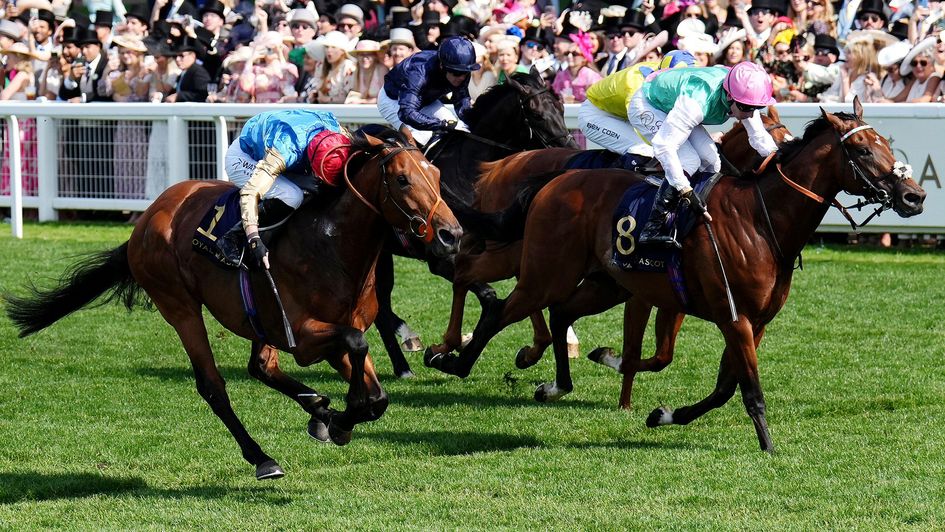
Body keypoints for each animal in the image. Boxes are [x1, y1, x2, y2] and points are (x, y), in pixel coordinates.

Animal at [5, 128, 462, 478]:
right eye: (402, 180)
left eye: (437, 173)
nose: (451, 235)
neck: (331, 244)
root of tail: (148, 216)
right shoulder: (305, 337)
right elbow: (357, 349)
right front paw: (338, 420)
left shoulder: (327, 335)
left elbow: (376, 394)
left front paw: (333, 418)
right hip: (180, 306)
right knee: (213, 385)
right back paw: (263, 457)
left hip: (259, 318)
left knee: (260, 366)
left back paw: (315, 405)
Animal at [368, 68, 576, 376]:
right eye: (537, 115)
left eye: (562, 108)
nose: (570, 150)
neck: (471, 175)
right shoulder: (443, 258)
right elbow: (487, 295)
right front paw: (452, 347)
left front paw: (531, 350)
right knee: (379, 307)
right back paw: (406, 352)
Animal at [424, 109, 792, 382]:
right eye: (777, 143)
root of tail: (503, 164)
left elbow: (664, 352)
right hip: (518, 249)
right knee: (468, 271)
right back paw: (450, 345)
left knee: (482, 274)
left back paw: (522, 347)